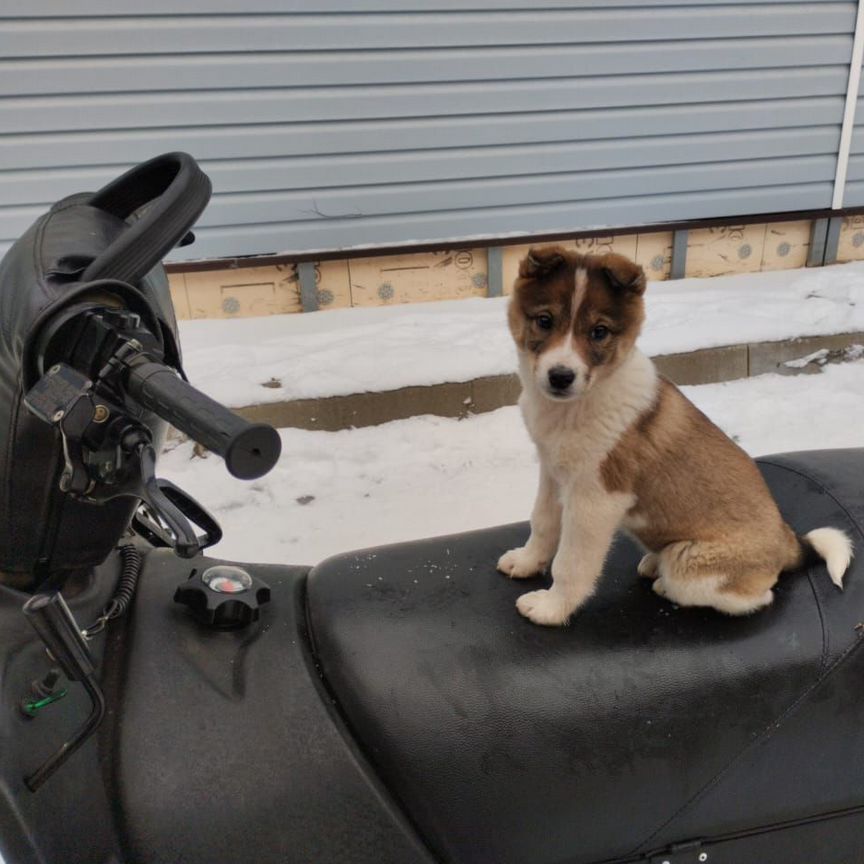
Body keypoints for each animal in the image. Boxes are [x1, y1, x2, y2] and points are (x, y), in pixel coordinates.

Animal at [496, 243, 852, 628]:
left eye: (599, 332)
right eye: (544, 321)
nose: (561, 377)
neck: (577, 403)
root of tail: (788, 542)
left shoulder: (596, 499)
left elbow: (571, 563)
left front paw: (552, 608)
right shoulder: (553, 472)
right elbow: (542, 523)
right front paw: (526, 562)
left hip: (693, 564)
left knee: (756, 596)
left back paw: (667, 584)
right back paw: (654, 563)